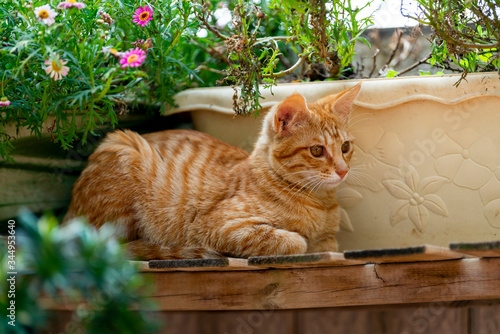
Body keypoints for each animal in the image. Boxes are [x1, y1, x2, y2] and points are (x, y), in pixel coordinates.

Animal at [64, 82, 362, 260]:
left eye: (345, 147)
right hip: (125, 151)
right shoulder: (221, 227)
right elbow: (295, 242)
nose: (343, 171)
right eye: (317, 150)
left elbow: (325, 245)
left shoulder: (329, 241)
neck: (319, 204)